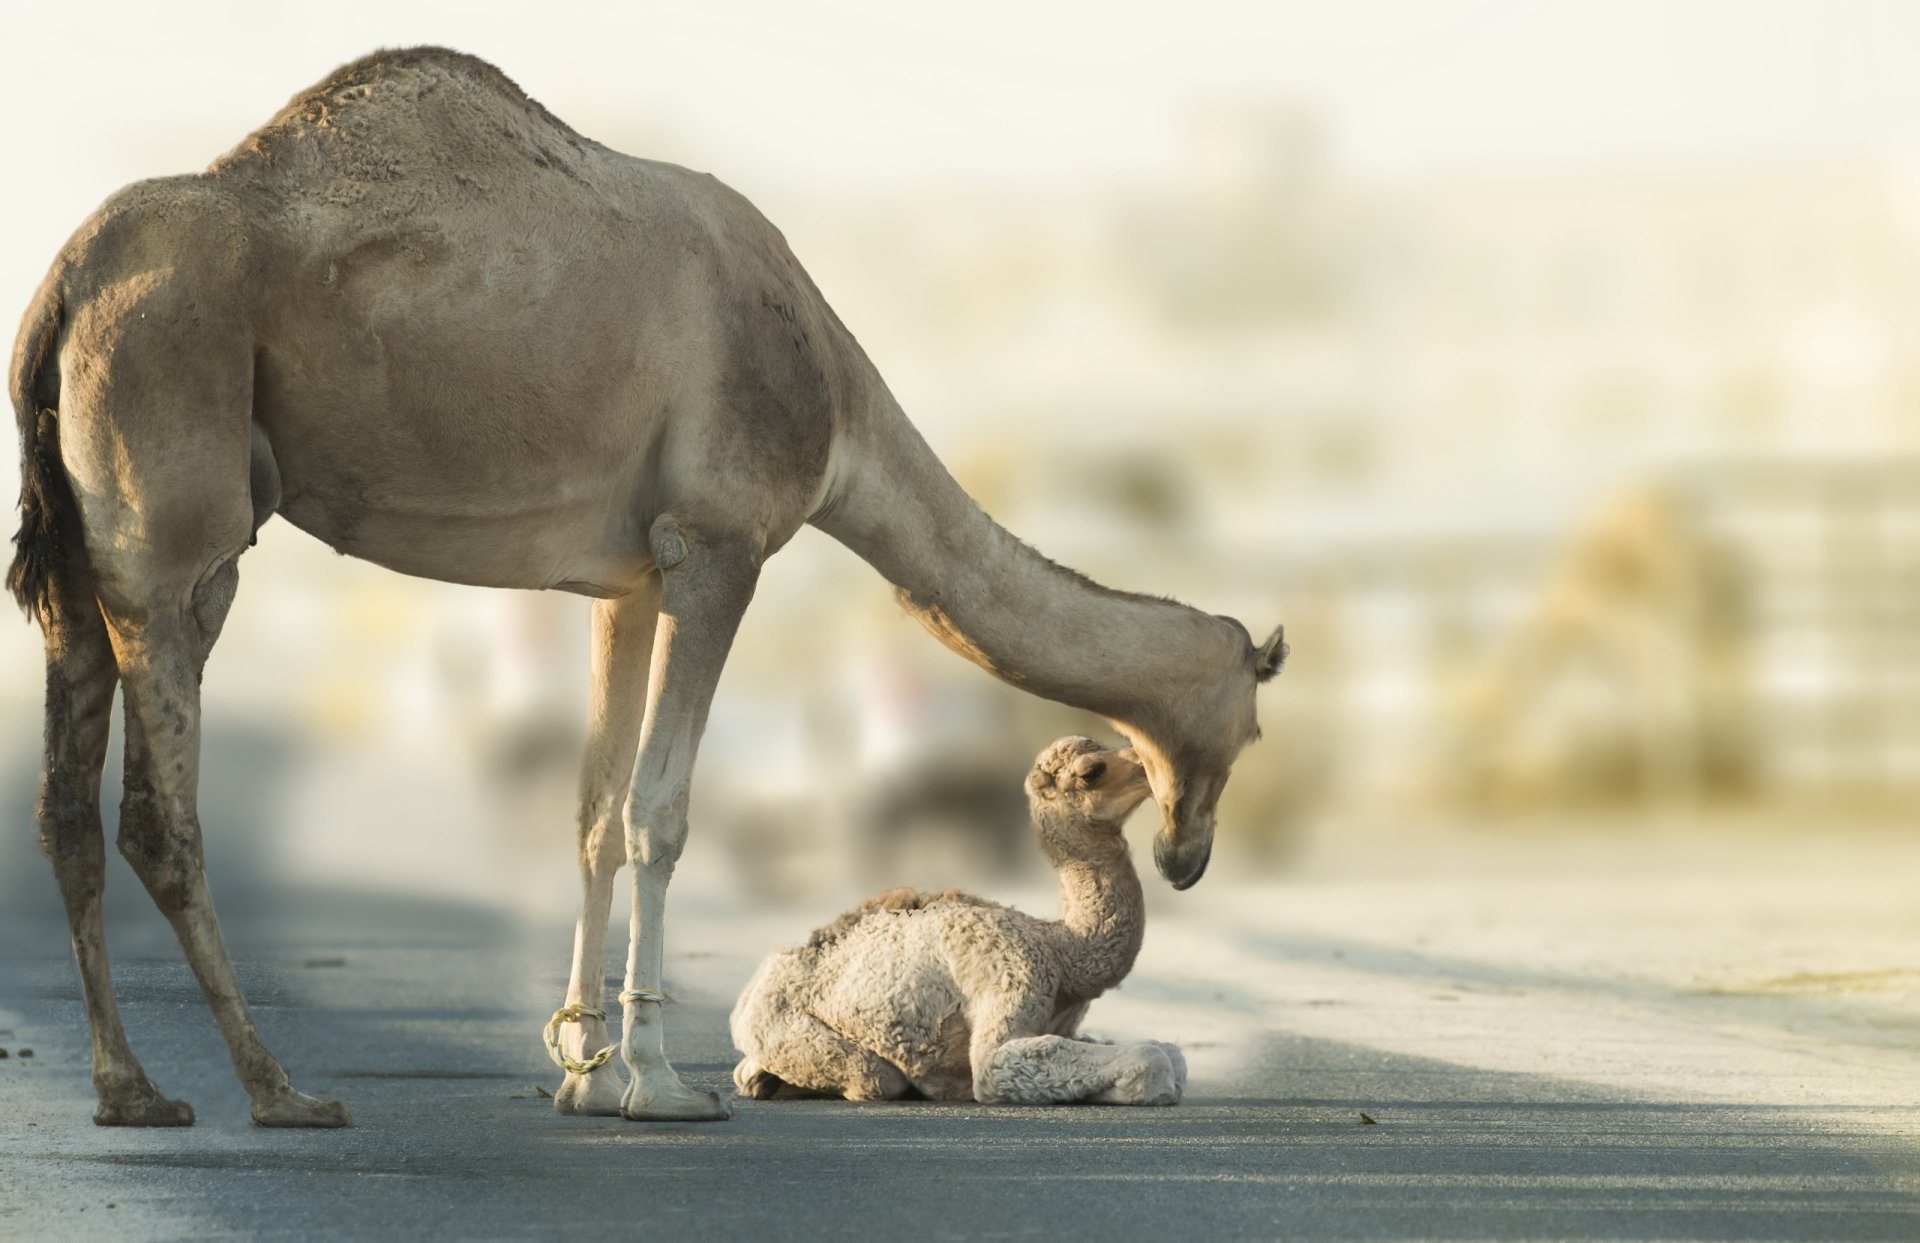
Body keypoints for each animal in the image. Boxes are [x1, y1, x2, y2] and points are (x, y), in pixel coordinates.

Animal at [731, 736, 1185, 1106]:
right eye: (1092, 772)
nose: (1153, 772)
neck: (1061, 951)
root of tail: (749, 994)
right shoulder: (1010, 975)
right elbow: (1151, 1059)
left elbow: (1170, 1054)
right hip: (785, 1026)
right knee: (874, 1078)